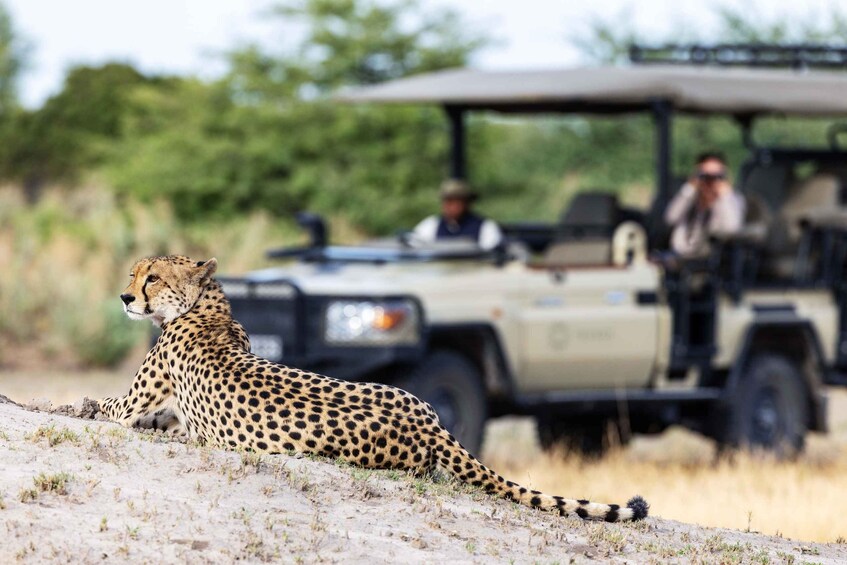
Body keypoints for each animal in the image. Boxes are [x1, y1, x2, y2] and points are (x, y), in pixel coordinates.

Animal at [99, 255, 648, 522]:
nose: (124, 297)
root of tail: (427, 420)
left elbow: (99, 404)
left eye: (152, 278)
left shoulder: (132, 404)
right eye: (133, 273)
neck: (205, 305)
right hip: (404, 392)